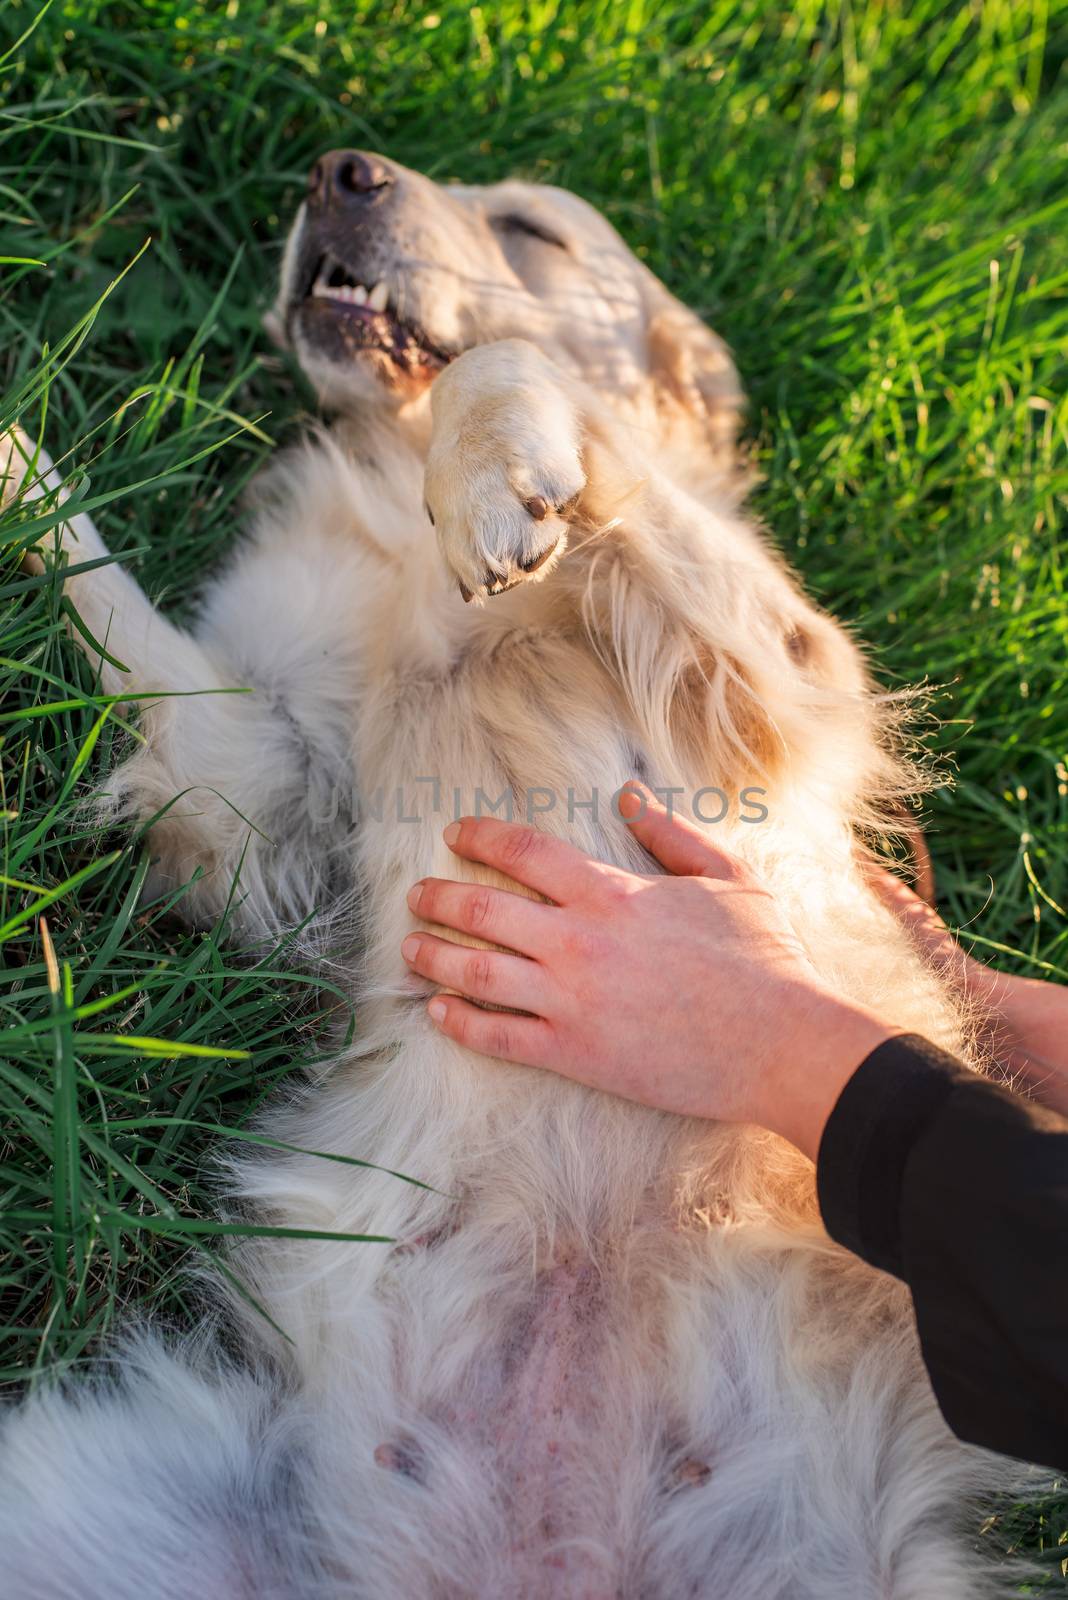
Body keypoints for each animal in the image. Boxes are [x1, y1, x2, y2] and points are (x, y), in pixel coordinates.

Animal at [0, 152, 1023, 1600]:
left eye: (533, 227)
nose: (340, 170)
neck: (391, 490)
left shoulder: (773, 677)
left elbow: (515, 368)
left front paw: (498, 483)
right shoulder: (264, 809)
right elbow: (106, 589)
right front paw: (12, 458)